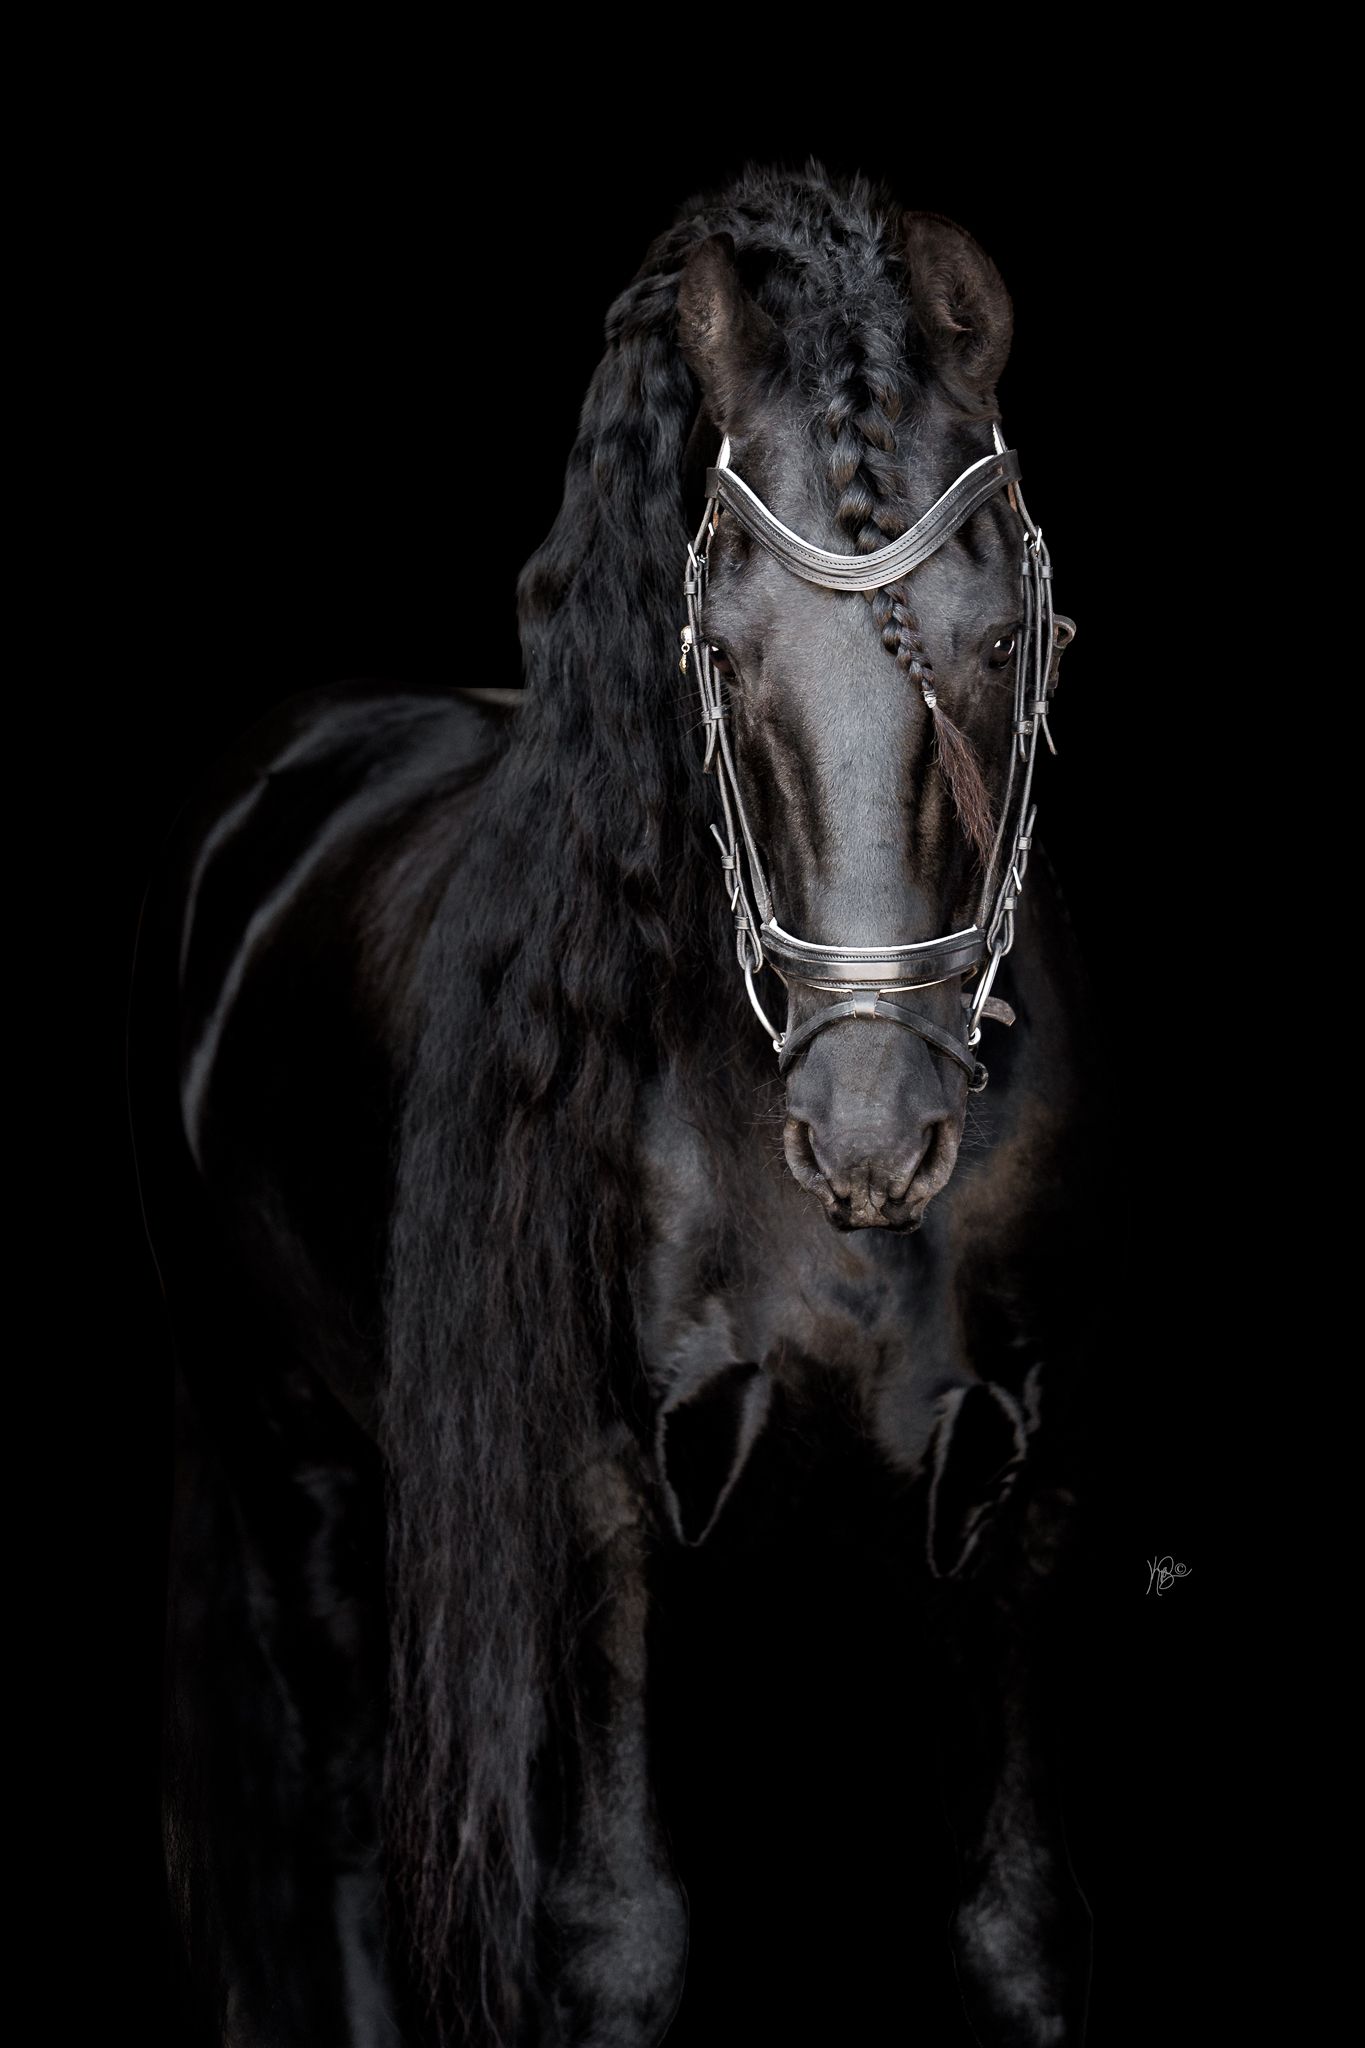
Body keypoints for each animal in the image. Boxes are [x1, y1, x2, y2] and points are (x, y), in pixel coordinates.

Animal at [127, 159, 1112, 2046]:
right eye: (721, 654)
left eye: (995, 638)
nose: (870, 1135)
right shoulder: (601, 1500)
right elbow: (621, 1932)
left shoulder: (1016, 1504)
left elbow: (1012, 1929)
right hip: (287, 1453)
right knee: (347, 1815)